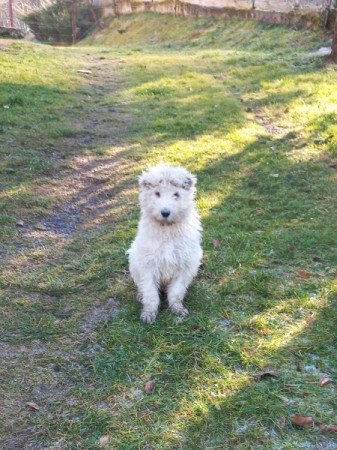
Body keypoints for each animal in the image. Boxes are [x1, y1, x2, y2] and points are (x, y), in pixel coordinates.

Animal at [128, 163, 202, 322]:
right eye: (157, 193)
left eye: (176, 194)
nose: (165, 212)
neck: (167, 228)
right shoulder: (148, 265)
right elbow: (150, 293)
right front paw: (149, 313)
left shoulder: (184, 266)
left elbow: (176, 291)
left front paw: (177, 309)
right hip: (134, 262)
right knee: (141, 286)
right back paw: (140, 295)